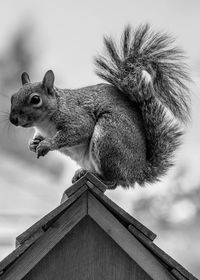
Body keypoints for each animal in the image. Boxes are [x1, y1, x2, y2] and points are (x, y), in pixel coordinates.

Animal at [9, 25, 191, 189]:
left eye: (35, 99)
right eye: (12, 97)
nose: (13, 119)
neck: (45, 121)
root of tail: (136, 171)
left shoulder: (76, 116)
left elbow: (78, 130)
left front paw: (47, 144)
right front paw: (33, 143)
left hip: (109, 136)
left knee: (114, 182)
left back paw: (96, 176)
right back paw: (82, 173)